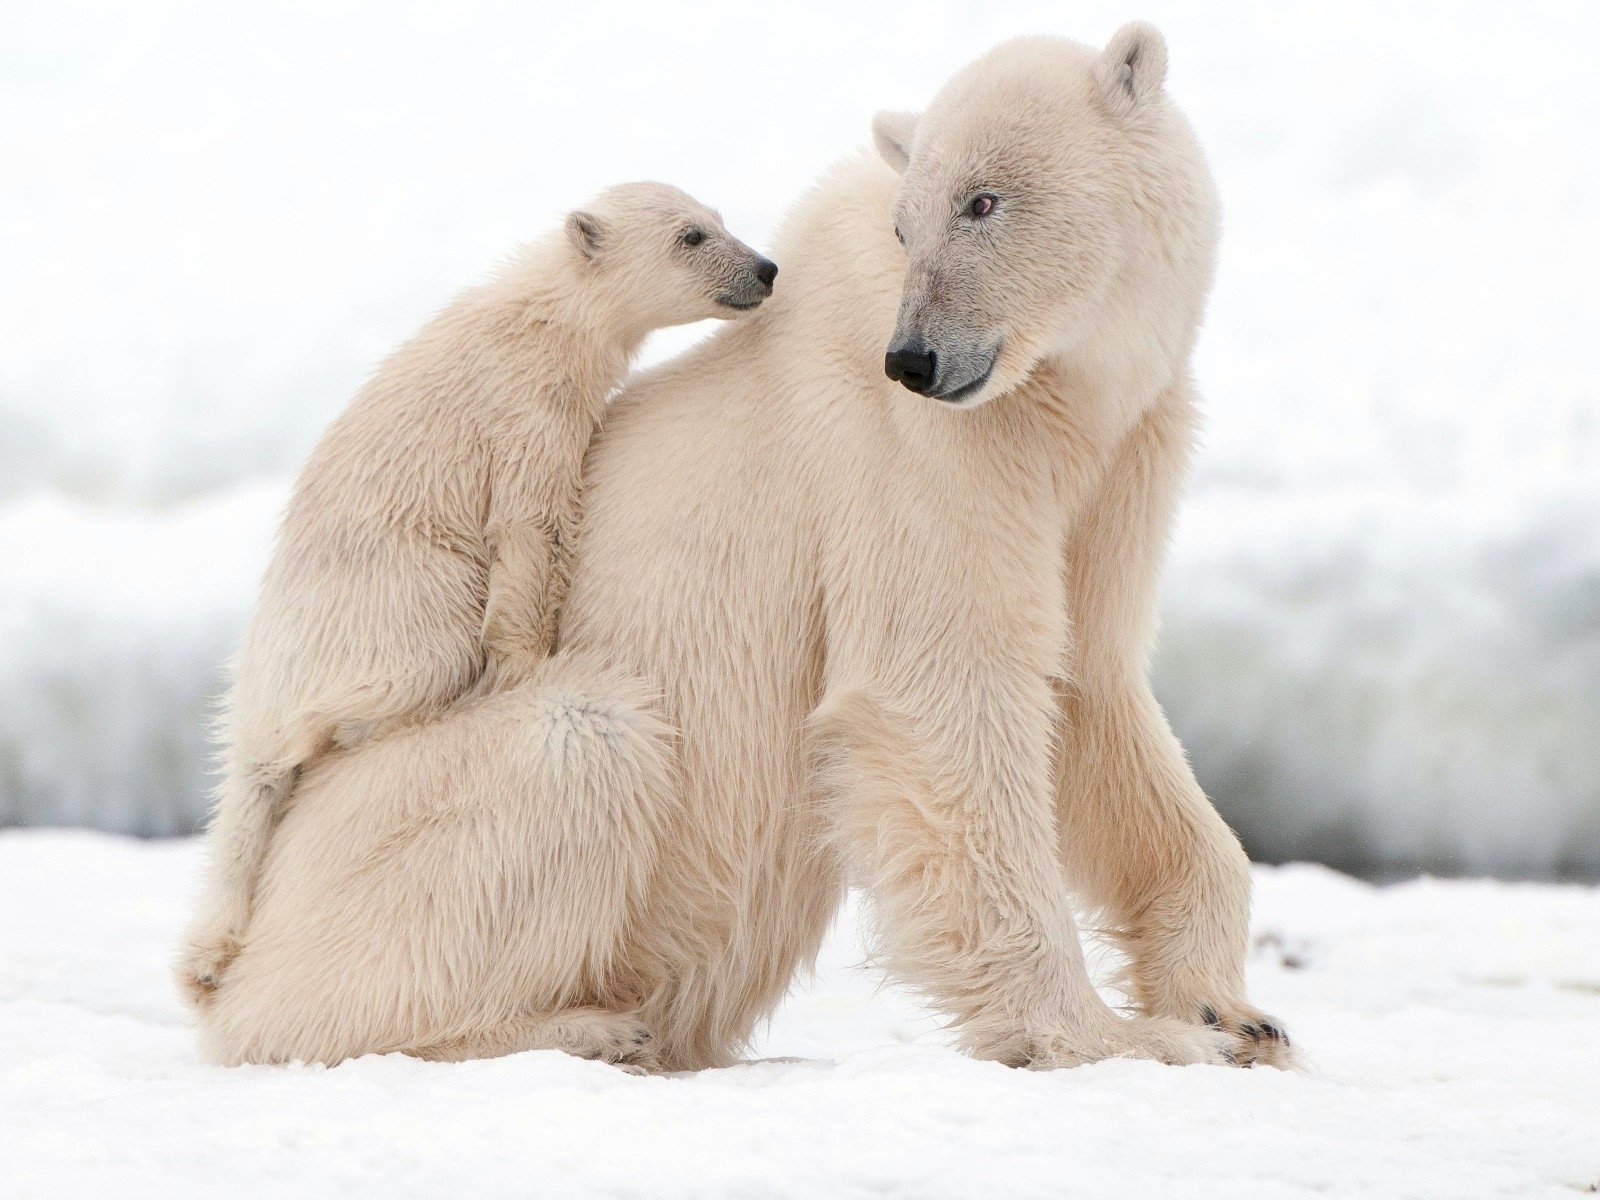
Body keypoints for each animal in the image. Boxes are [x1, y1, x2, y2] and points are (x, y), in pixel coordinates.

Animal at [175, 183, 774, 1011]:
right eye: (692, 235)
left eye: (719, 219)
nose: (766, 267)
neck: (545, 314)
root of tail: (259, 685)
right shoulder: (525, 410)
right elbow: (527, 525)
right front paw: (527, 661)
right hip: (393, 598)